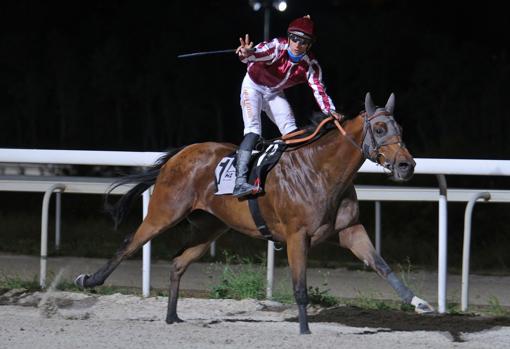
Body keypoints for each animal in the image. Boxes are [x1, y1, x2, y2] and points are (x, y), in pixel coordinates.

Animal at [76, 93, 434, 334]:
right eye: (379, 128)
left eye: (399, 127)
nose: (407, 165)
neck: (321, 171)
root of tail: (178, 155)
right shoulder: (297, 236)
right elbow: (300, 287)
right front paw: (304, 330)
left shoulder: (349, 230)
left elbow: (382, 266)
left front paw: (420, 303)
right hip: (164, 212)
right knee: (129, 244)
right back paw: (89, 279)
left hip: (210, 227)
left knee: (178, 262)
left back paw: (172, 316)